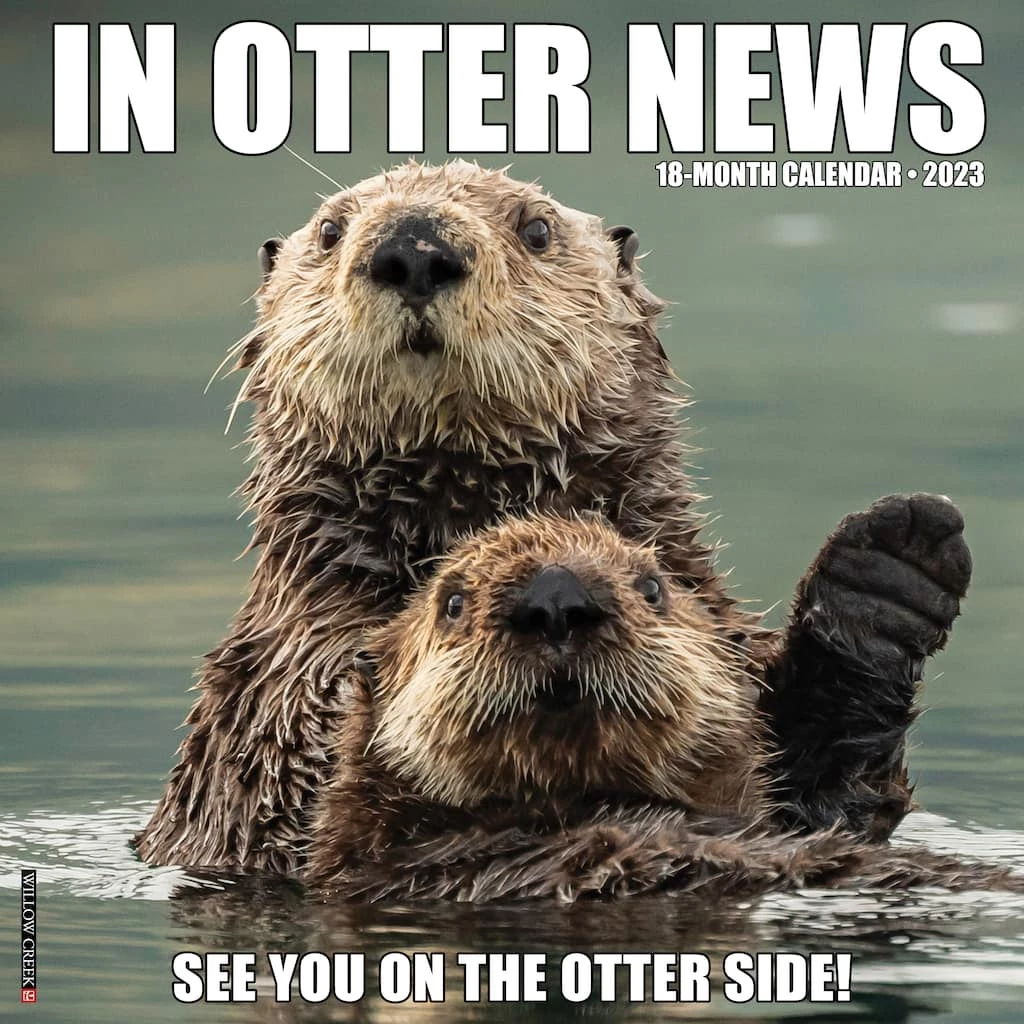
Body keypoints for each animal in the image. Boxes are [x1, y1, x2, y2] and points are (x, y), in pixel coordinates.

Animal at [135, 160, 970, 874]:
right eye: (332, 230)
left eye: (535, 229)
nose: (413, 248)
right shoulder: (273, 691)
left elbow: (822, 796)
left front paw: (887, 569)